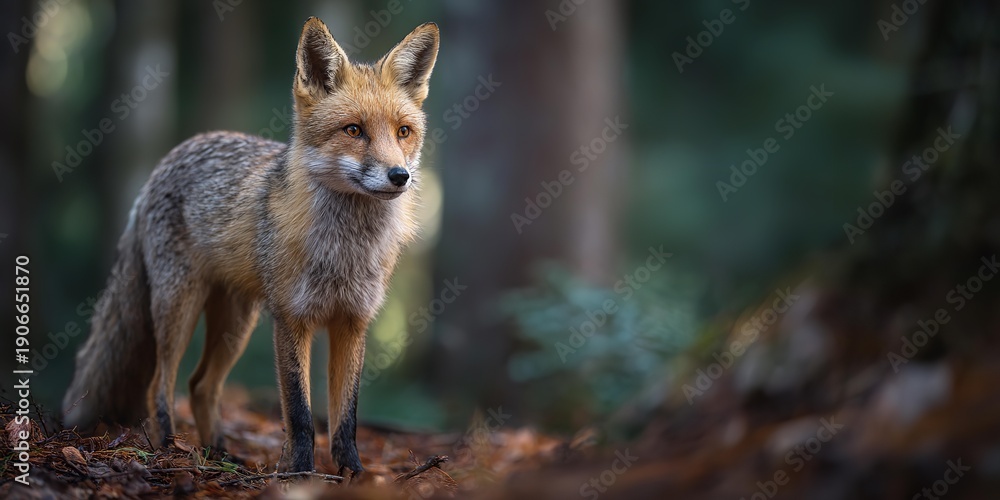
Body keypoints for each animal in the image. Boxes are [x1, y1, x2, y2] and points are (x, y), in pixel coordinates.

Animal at [61, 17, 440, 475]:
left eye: (403, 132)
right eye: (354, 130)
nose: (400, 176)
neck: (343, 252)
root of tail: (165, 162)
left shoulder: (352, 321)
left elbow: (346, 416)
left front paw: (353, 474)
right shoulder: (291, 318)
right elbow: (299, 412)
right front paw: (301, 472)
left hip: (235, 324)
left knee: (201, 385)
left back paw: (219, 454)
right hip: (179, 308)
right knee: (160, 384)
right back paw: (170, 448)